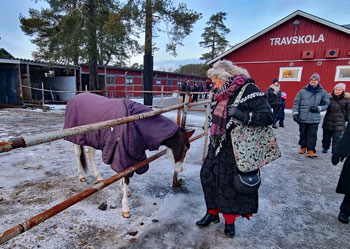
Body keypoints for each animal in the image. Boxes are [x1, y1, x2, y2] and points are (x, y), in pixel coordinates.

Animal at [64, 93, 196, 218]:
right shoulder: (122, 155)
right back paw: (82, 176)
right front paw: (125, 210)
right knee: (78, 153)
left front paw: (125, 191)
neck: (135, 123)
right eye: (185, 148)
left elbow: (124, 177)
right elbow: (125, 178)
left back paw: (99, 178)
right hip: (76, 136)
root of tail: (74, 98)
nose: (180, 169)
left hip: (94, 138)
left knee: (90, 153)